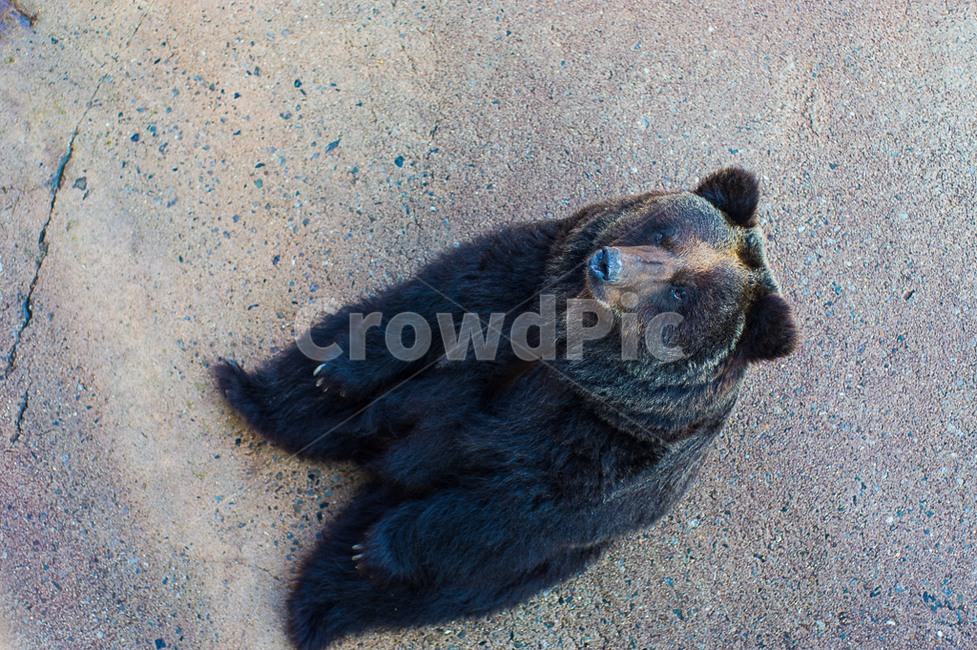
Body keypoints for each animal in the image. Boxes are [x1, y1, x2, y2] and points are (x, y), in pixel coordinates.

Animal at [215, 167, 797, 649]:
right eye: (663, 233)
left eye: (681, 293)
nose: (606, 264)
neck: (576, 342)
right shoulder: (530, 277)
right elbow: (432, 305)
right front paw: (338, 370)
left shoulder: (609, 442)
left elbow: (517, 500)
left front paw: (377, 550)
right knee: (327, 402)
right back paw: (252, 395)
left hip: (517, 563)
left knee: (402, 583)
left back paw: (327, 597)